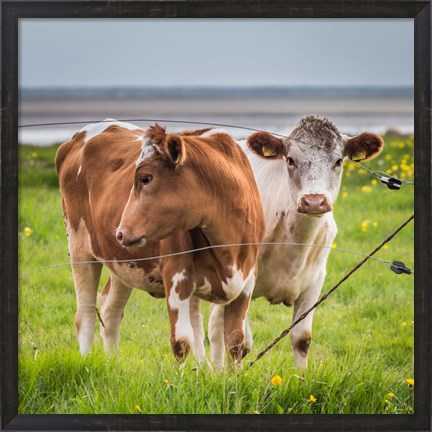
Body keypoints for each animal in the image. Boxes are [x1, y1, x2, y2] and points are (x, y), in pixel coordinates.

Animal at [55, 119, 264, 364]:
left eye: (145, 178)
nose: (120, 232)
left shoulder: (247, 281)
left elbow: (235, 342)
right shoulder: (176, 274)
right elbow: (182, 341)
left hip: (122, 263)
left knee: (110, 311)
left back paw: (112, 364)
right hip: (80, 247)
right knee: (85, 315)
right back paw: (87, 361)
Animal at [233, 115, 384, 372]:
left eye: (338, 161)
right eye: (290, 160)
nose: (314, 201)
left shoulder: (315, 280)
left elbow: (301, 338)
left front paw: (301, 379)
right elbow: (238, 341)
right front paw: (228, 379)